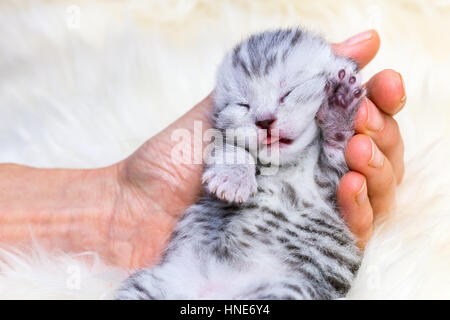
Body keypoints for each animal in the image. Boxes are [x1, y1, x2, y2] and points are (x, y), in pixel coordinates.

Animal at [117, 28, 366, 300]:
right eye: (243, 104)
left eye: (288, 92)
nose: (265, 121)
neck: (288, 165)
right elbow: (232, 148)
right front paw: (233, 179)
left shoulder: (332, 184)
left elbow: (339, 147)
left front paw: (339, 103)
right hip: (154, 283)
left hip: (283, 291)